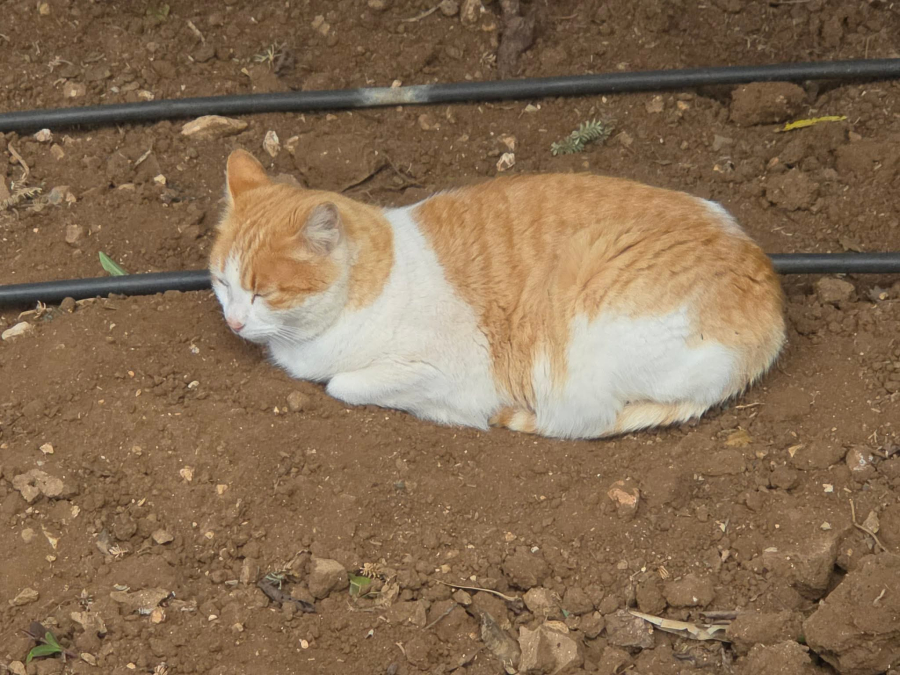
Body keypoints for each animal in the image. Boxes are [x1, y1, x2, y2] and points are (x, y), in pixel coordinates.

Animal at [210, 149, 785, 440]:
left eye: (263, 292)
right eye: (220, 282)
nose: (234, 323)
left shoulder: (446, 368)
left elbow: (342, 385)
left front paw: (447, 413)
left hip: (580, 346)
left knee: (586, 418)